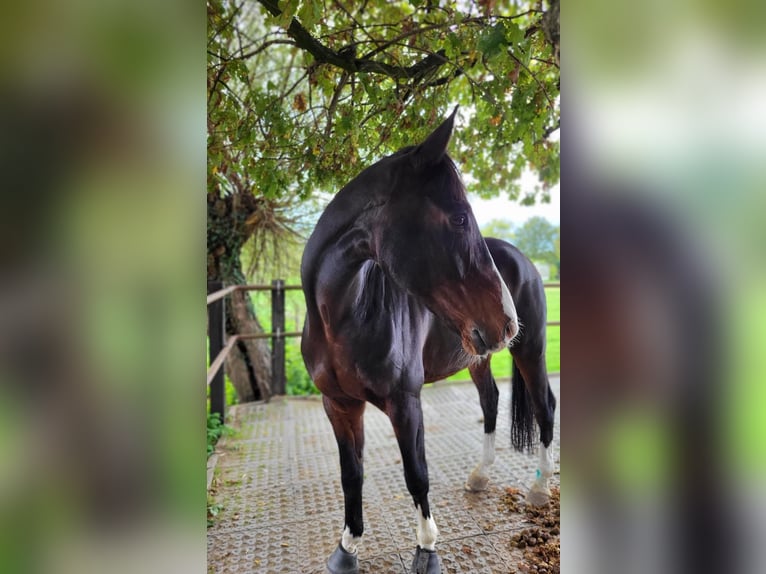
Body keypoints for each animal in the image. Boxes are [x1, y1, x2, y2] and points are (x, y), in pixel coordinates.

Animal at [300, 109, 556, 574]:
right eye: (458, 217)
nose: (508, 321)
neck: (345, 316)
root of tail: (523, 258)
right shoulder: (339, 405)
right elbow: (352, 474)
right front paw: (347, 547)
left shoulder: (406, 402)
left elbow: (416, 474)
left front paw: (427, 548)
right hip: (479, 356)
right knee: (491, 402)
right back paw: (479, 476)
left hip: (532, 351)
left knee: (544, 406)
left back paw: (541, 488)